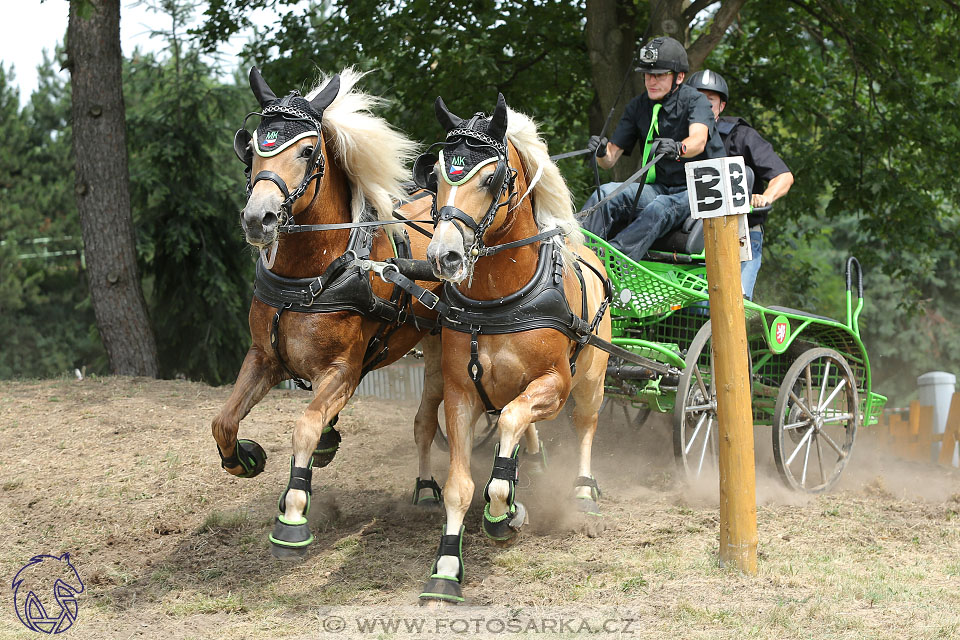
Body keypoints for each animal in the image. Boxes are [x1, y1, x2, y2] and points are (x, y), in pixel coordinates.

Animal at [210, 67, 446, 556]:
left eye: (307, 150)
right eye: (253, 148)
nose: (258, 219)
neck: (309, 276)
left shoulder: (343, 370)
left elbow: (304, 425)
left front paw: (294, 511)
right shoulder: (265, 358)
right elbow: (223, 421)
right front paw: (244, 457)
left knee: (429, 420)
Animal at [410, 95, 608, 604]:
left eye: (489, 178)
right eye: (436, 174)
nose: (443, 257)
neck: (499, 300)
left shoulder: (554, 385)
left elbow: (513, 425)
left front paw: (503, 512)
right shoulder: (461, 395)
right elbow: (460, 485)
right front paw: (445, 569)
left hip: (591, 380)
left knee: (583, 426)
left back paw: (582, 490)